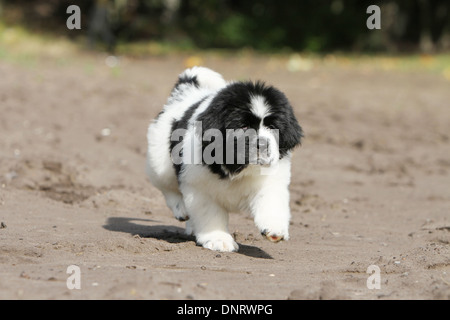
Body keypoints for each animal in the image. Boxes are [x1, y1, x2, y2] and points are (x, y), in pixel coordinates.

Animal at [146, 67, 304, 252]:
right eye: (243, 127)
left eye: (272, 127)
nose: (262, 143)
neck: (238, 167)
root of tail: (187, 90)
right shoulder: (199, 188)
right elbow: (210, 215)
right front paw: (218, 239)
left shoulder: (271, 180)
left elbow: (271, 201)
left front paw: (275, 229)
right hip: (159, 160)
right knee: (167, 186)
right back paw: (181, 208)